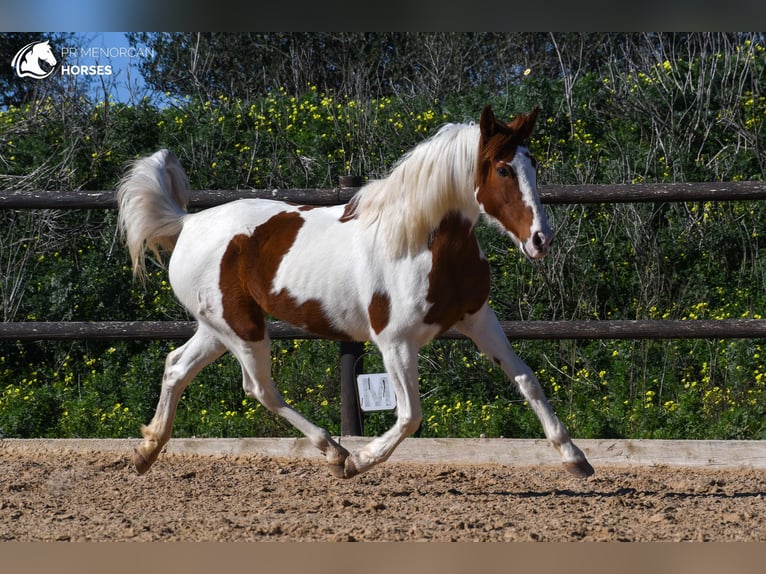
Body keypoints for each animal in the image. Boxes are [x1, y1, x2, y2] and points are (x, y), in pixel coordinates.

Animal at [117, 104, 596, 482]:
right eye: (502, 169)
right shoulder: (394, 342)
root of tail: (188, 223)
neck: (417, 244)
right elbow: (410, 415)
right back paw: (335, 452)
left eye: (534, 166)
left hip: (218, 327)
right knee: (259, 388)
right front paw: (360, 461)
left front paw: (576, 459)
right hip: (242, 329)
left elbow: (527, 380)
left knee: (177, 367)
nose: (541, 240)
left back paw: (145, 453)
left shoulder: (478, 319)